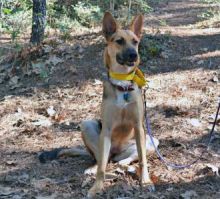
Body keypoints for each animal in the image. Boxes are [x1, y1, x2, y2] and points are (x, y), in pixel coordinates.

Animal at [39, 12, 159, 197]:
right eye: (119, 41)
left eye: (135, 42)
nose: (134, 55)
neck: (122, 84)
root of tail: (116, 151)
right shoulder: (107, 129)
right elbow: (102, 167)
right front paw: (97, 187)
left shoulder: (139, 127)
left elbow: (143, 160)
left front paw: (145, 181)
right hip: (87, 126)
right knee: (103, 159)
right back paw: (94, 168)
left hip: (152, 141)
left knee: (126, 158)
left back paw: (123, 163)